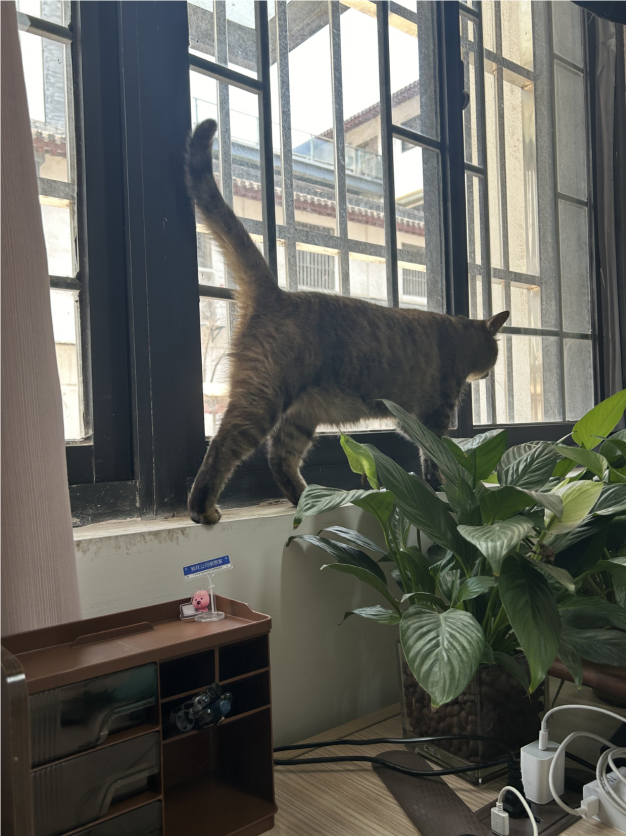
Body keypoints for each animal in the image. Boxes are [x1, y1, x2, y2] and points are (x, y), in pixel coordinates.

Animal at [185, 119, 509, 525]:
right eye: (494, 352)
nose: (489, 371)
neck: (456, 334)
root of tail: (277, 294)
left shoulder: (412, 418)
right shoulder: (433, 416)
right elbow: (435, 456)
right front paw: (441, 486)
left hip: (299, 417)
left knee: (279, 458)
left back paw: (306, 496)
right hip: (261, 400)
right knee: (223, 445)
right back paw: (203, 508)